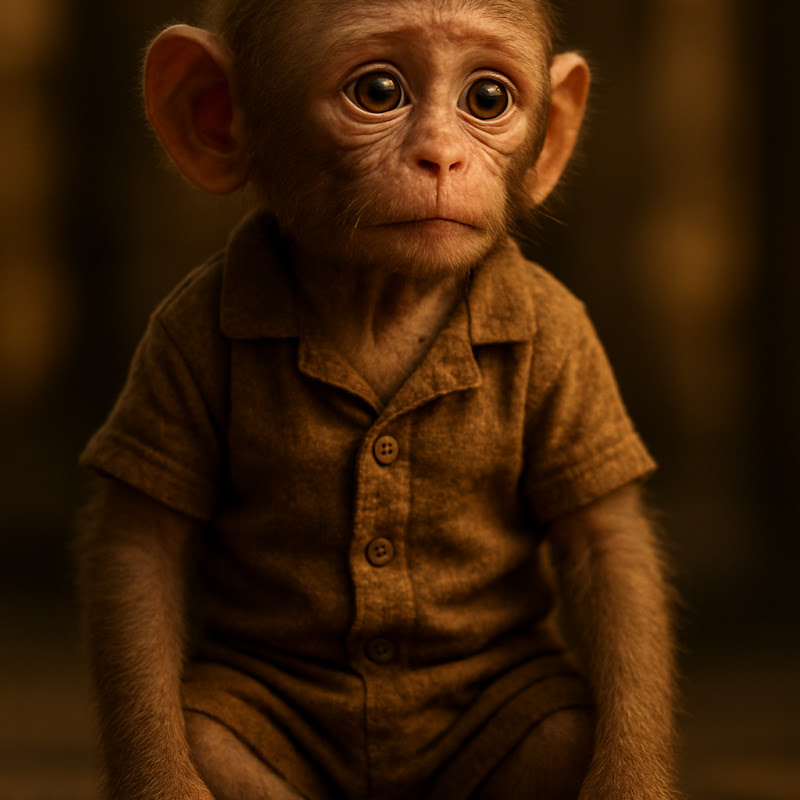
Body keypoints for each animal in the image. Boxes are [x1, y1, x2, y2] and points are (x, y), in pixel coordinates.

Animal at [77, 1, 679, 799]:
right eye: (379, 91)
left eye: (488, 99)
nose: (441, 159)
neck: (382, 300)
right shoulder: (179, 333)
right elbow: (141, 544)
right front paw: (164, 782)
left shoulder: (565, 336)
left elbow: (605, 542)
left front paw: (628, 781)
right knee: (215, 739)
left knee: (556, 730)